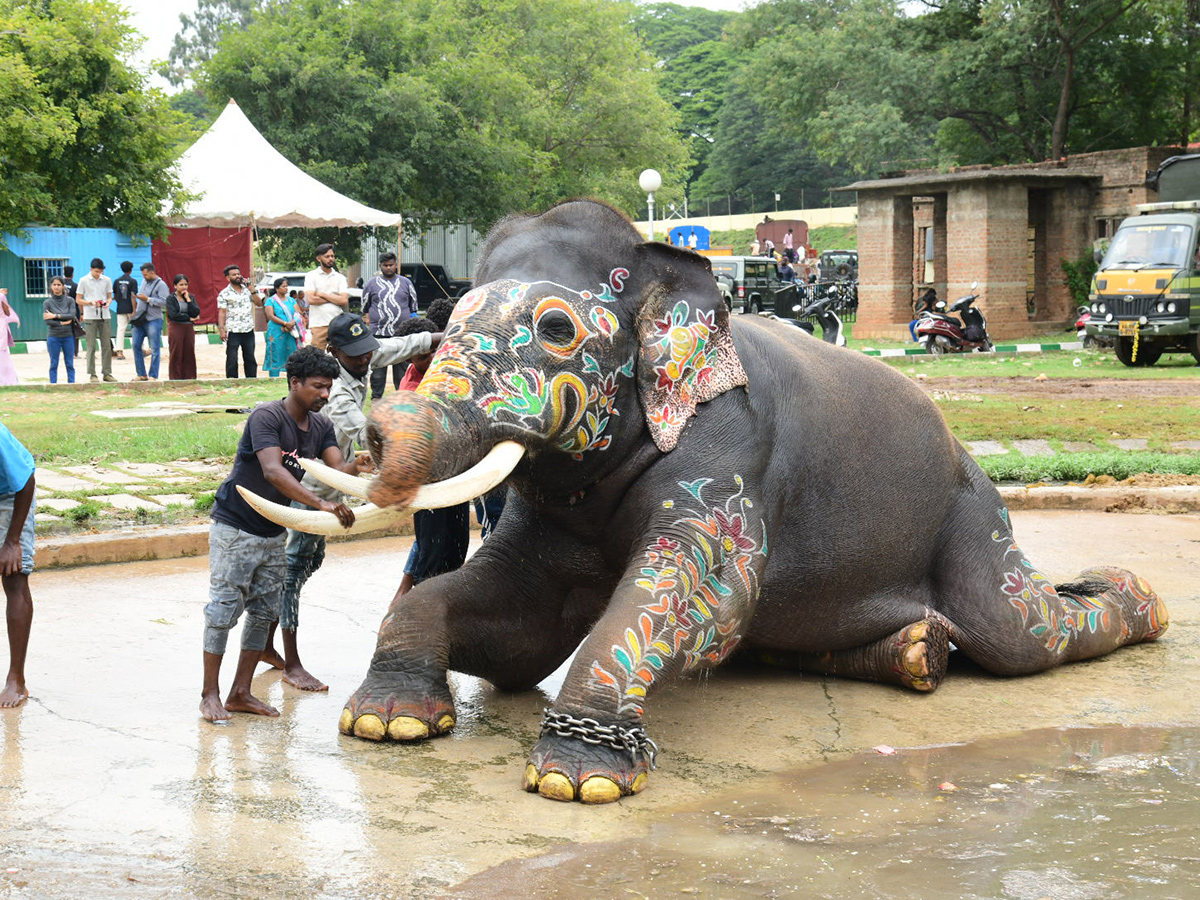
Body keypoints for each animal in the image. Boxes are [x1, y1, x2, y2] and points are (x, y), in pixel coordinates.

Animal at [246, 199, 1168, 804]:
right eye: (447, 324)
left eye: (555, 330)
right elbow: (521, 625)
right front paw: (391, 723)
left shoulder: (731, 458)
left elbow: (697, 593)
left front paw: (576, 778)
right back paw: (919, 654)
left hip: (970, 517)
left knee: (1020, 633)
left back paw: (1130, 596)